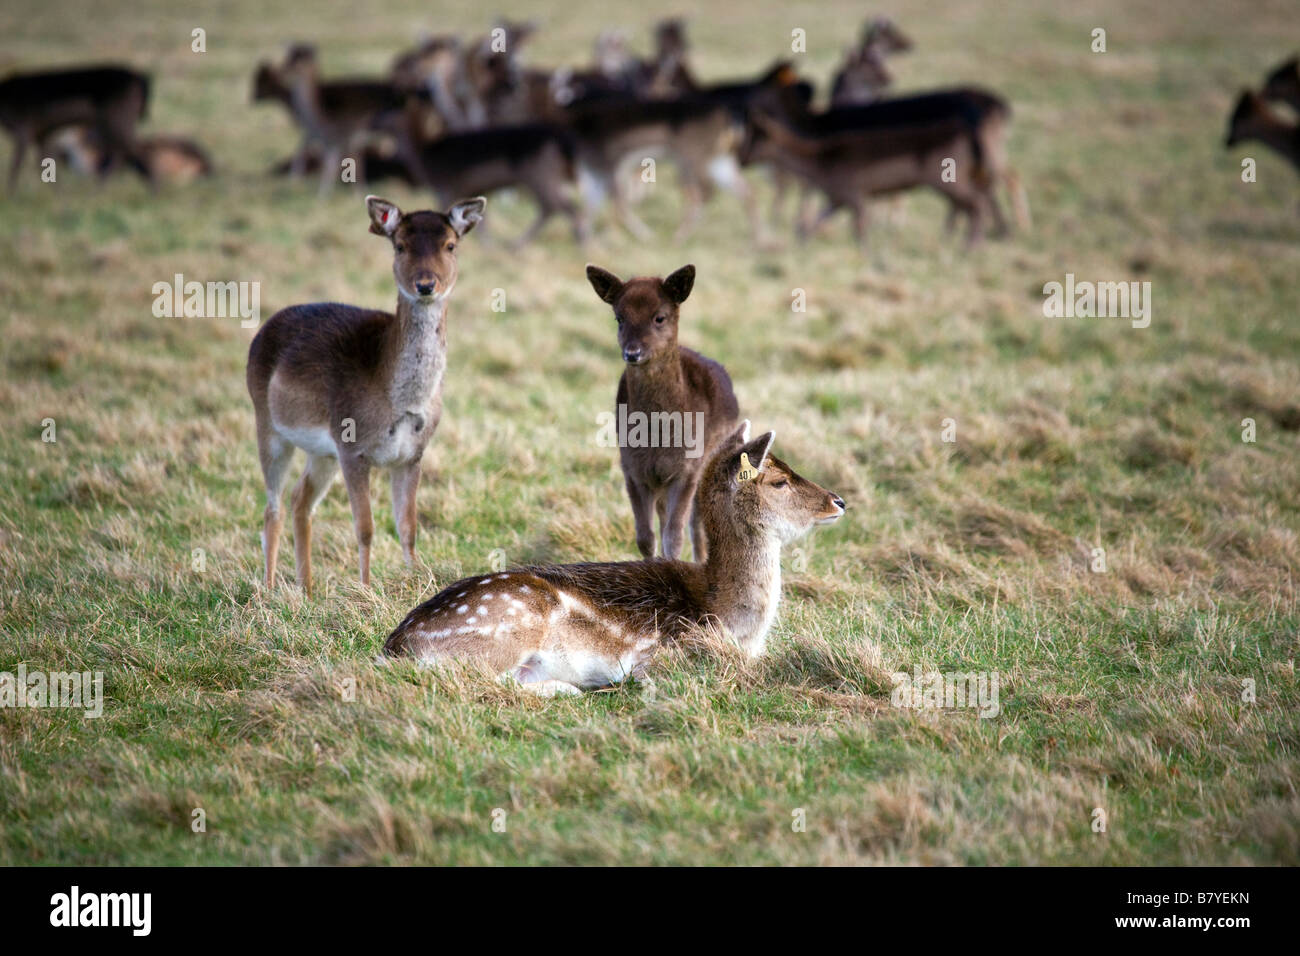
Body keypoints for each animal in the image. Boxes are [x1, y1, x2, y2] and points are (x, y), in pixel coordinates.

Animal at [0, 64, 150, 191]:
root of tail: (140, 80)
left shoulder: (23, 129)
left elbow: (16, 165)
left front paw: (11, 195)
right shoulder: (40, 134)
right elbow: (42, 162)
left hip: (116, 121)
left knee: (133, 150)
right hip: (114, 125)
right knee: (124, 152)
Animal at [246, 194, 486, 596]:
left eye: (450, 245)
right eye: (400, 245)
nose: (426, 284)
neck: (400, 401)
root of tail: (264, 327)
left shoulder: (412, 455)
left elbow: (408, 527)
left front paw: (417, 579)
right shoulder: (352, 448)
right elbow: (366, 528)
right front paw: (366, 589)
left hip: (322, 452)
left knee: (300, 498)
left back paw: (308, 589)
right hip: (268, 423)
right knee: (273, 506)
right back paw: (268, 588)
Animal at [383, 421, 846, 695]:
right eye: (780, 481)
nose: (838, 501)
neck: (726, 616)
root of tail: (396, 645)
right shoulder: (668, 653)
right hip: (509, 624)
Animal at [585, 264, 740, 562]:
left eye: (660, 317)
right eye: (619, 318)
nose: (632, 352)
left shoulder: (688, 468)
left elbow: (674, 537)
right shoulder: (632, 467)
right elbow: (645, 537)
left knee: (696, 524)